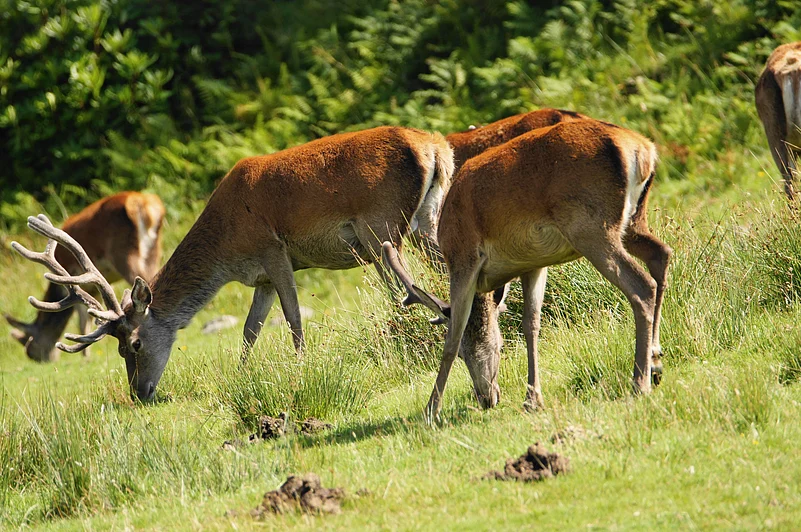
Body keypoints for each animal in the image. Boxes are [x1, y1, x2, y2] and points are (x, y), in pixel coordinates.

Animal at [6, 192, 164, 362]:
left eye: (31, 346)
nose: (43, 360)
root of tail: (147, 204)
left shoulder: (75, 277)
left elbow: (82, 320)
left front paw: (85, 359)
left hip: (125, 254)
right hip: (153, 252)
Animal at [382, 118, 671, 419]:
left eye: (464, 354)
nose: (486, 398)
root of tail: (642, 149)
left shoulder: (464, 257)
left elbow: (453, 336)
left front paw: (431, 410)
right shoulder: (533, 263)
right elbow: (531, 324)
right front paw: (532, 399)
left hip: (591, 226)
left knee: (641, 285)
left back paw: (640, 381)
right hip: (632, 221)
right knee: (661, 254)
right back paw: (655, 361)